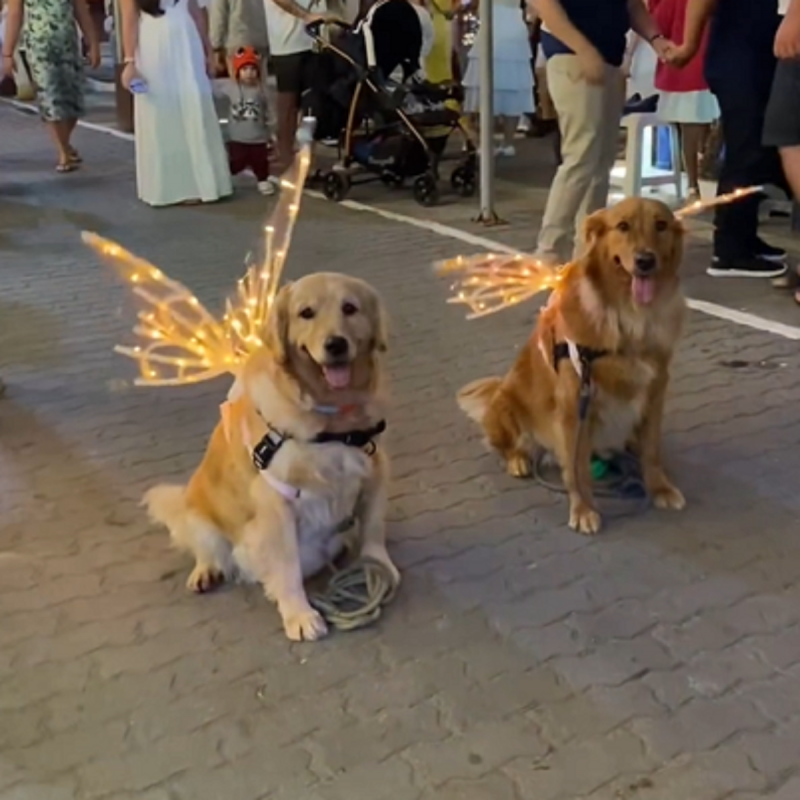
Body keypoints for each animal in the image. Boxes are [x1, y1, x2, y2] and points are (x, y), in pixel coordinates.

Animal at [142, 272, 398, 640]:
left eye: (350, 308)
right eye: (306, 313)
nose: (335, 344)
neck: (331, 417)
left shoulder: (376, 467)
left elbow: (374, 529)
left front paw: (379, 566)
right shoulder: (275, 501)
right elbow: (287, 567)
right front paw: (299, 615)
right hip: (200, 518)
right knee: (207, 549)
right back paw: (205, 571)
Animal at [456, 199, 688, 536]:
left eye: (661, 225)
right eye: (623, 226)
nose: (645, 261)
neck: (629, 319)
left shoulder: (655, 392)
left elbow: (652, 450)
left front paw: (660, 488)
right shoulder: (574, 404)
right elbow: (578, 469)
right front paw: (584, 510)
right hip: (508, 403)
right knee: (509, 446)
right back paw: (518, 461)